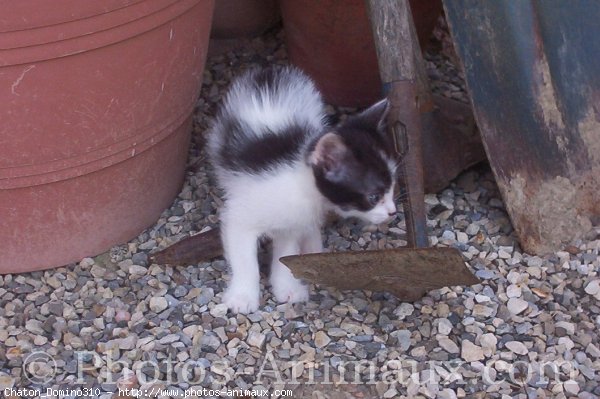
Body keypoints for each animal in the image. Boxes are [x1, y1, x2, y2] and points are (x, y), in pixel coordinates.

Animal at [210, 66, 398, 316]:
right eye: (373, 196)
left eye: (392, 187)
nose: (393, 212)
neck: (301, 187)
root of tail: (270, 73)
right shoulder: (239, 218)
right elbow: (244, 258)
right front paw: (243, 296)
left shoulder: (292, 223)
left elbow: (286, 252)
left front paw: (286, 287)